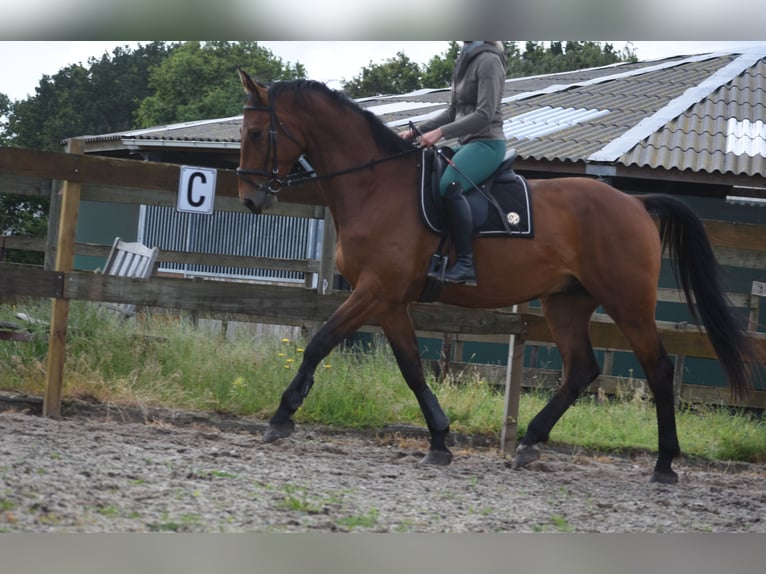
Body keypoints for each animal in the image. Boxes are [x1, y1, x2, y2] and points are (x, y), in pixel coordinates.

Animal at [235, 70, 756, 484]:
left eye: (258, 133)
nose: (250, 200)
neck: (375, 185)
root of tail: (635, 202)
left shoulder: (373, 291)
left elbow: (320, 341)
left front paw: (282, 415)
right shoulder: (390, 301)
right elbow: (412, 368)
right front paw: (440, 441)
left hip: (628, 305)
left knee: (658, 370)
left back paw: (665, 465)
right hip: (566, 303)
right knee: (581, 369)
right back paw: (528, 443)